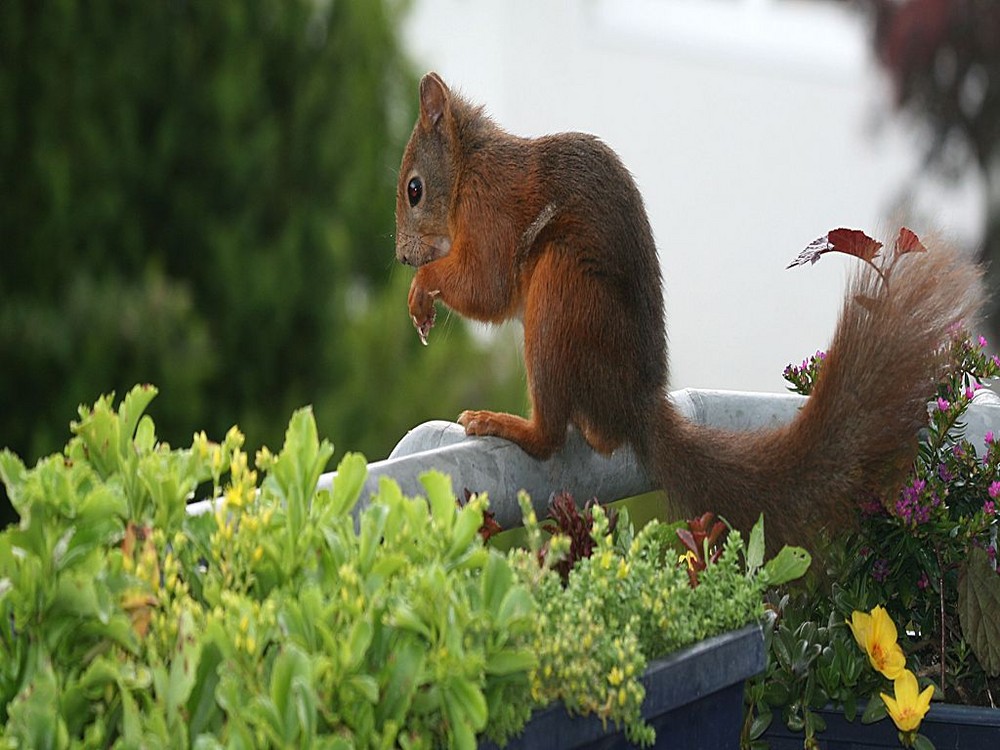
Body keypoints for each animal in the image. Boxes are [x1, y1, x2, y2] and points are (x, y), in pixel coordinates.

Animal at [392, 73, 984, 548]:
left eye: (414, 189)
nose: (401, 256)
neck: (468, 169)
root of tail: (635, 407)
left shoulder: (489, 212)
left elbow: (486, 286)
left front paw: (422, 289)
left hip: (561, 299)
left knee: (550, 437)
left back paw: (504, 423)